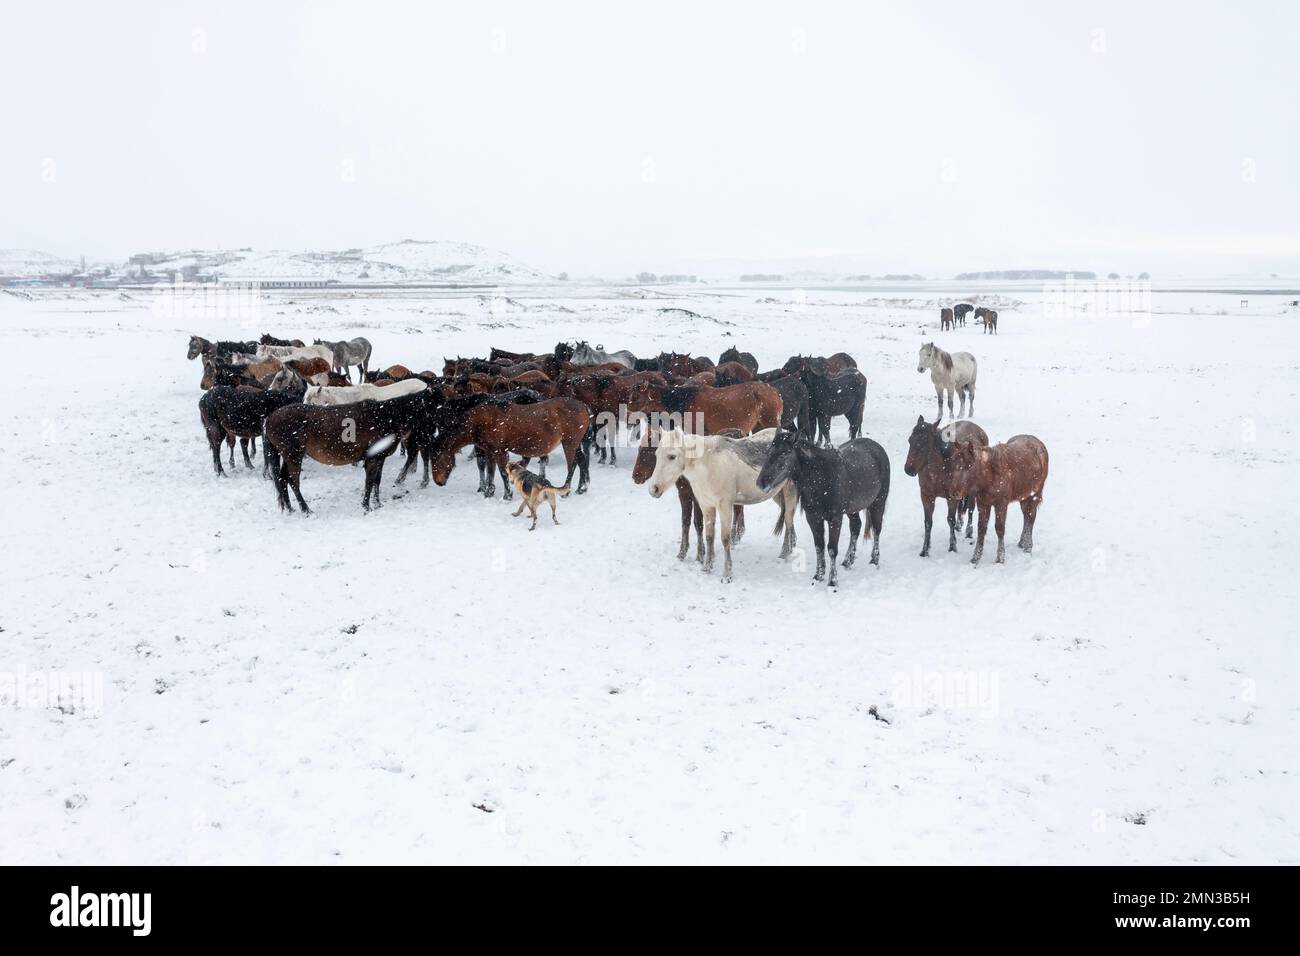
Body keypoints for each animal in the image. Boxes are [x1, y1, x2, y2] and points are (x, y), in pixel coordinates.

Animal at [261, 390, 439, 515]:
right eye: (433, 408)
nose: (434, 433)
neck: (385, 416)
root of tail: (270, 418)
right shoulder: (373, 459)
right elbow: (369, 482)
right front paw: (366, 506)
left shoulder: (380, 458)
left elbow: (377, 481)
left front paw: (377, 503)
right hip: (294, 456)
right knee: (293, 481)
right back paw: (305, 510)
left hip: (289, 456)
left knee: (282, 479)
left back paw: (290, 509)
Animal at [644, 429, 795, 582]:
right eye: (656, 454)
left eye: (672, 456)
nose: (653, 489)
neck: (709, 465)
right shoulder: (706, 506)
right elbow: (709, 536)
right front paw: (707, 567)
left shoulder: (725, 506)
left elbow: (725, 538)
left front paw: (727, 574)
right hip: (777, 494)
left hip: (790, 491)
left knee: (788, 520)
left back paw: (785, 553)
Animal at [759, 429, 889, 587]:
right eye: (768, 452)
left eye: (784, 453)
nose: (761, 482)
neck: (821, 477)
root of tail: (877, 447)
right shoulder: (813, 518)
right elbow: (819, 546)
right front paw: (819, 575)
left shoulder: (835, 519)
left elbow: (832, 549)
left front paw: (832, 581)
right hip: (853, 508)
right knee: (856, 527)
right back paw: (848, 560)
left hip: (878, 502)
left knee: (876, 529)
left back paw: (874, 560)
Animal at [899, 416, 987, 556]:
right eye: (910, 440)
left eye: (925, 443)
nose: (909, 469)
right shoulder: (926, 496)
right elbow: (928, 522)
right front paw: (925, 550)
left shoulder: (951, 498)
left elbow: (950, 520)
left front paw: (952, 547)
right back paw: (959, 525)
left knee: (971, 509)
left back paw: (969, 531)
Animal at [951, 431, 1050, 561]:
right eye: (953, 462)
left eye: (969, 465)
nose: (954, 492)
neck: (990, 476)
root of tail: (1040, 444)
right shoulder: (983, 503)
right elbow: (981, 528)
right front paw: (976, 557)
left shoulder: (1001, 503)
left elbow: (1000, 528)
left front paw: (1000, 557)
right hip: (1024, 496)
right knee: (1026, 516)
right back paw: (1022, 542)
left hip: (1035, 494)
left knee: (1031, 516)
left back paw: (1028, 546)